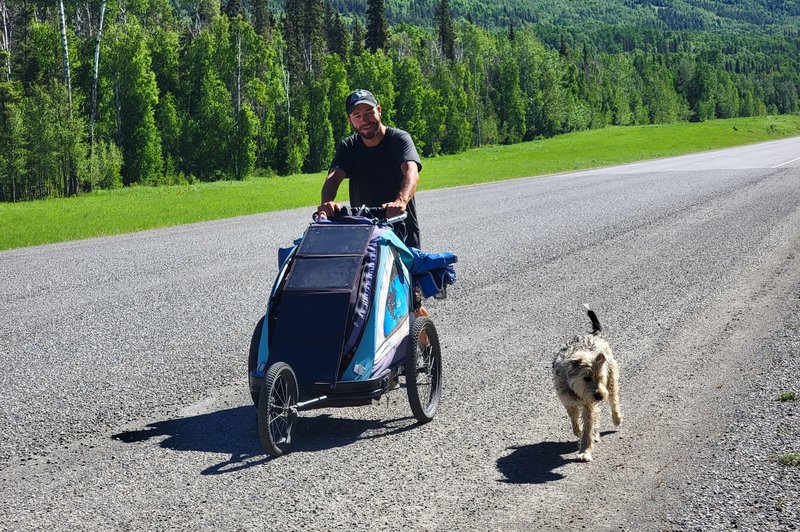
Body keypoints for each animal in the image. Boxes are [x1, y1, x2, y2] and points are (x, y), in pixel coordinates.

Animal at [552, 304, 620, 462]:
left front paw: (585, 451)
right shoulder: (569, 401)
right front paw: (579, 431)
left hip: (611, 378)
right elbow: (575, 421)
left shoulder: (589, 404)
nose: (599, 396)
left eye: (600, 377)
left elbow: (588, 426)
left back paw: (617, 418)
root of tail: (595, 334)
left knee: (613, 398)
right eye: (586, 378)